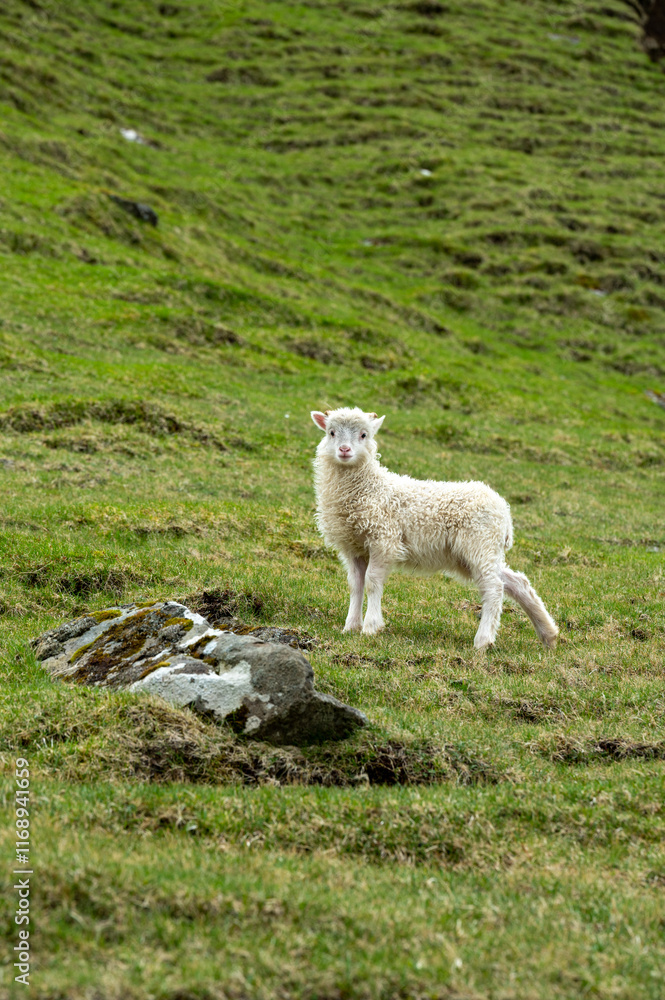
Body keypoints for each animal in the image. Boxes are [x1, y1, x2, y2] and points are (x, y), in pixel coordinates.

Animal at [311, 406, 558, 650]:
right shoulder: (353, 546)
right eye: (331, 432)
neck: (369, 487)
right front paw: (351, 626)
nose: (344, 450)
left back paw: (483, 640)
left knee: (494, 588)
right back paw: (547, 633)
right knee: (516, 582)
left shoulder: (383, 539)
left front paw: (371, 627)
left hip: (480, 544)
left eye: (364, 435)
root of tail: (504, 512)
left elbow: (372, 582)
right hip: (478, 552)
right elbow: (356, 585)